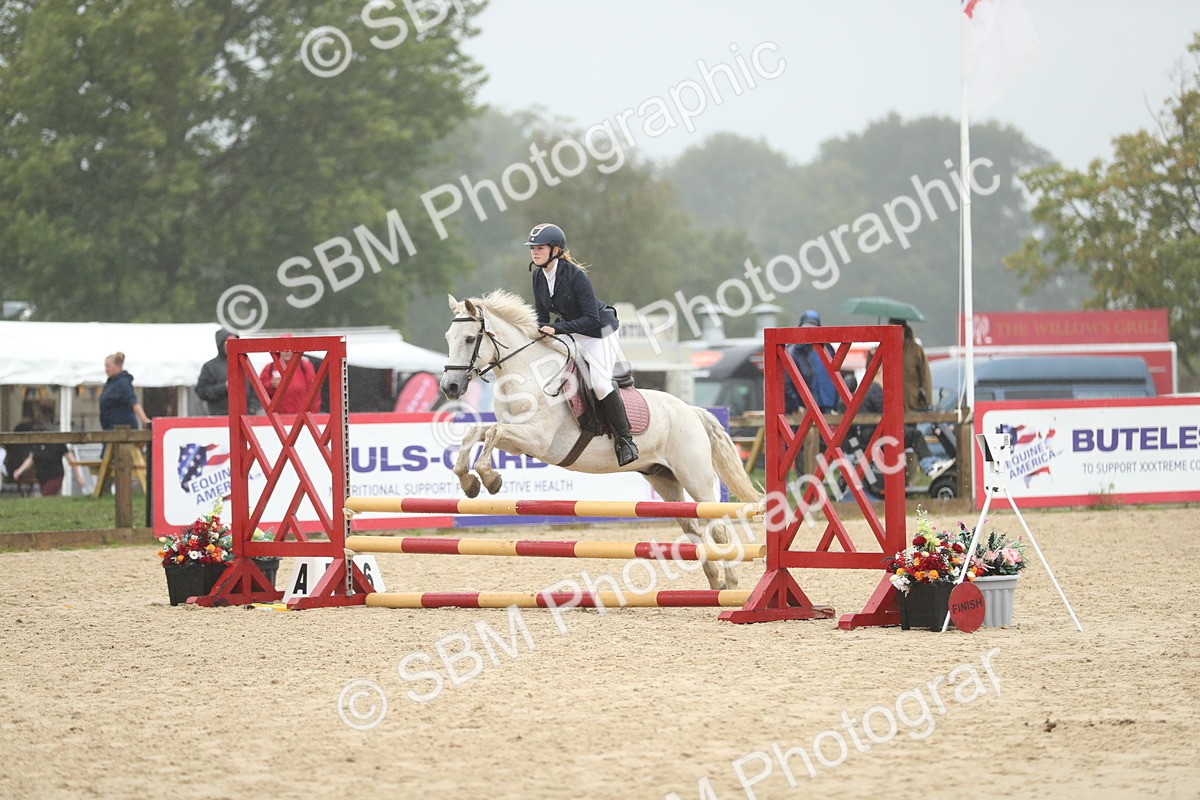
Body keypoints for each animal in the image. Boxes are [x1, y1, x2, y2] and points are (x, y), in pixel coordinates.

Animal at [439, 290, 762, 590]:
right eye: (448, 338)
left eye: (470, 339)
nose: (450, 387)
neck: (527, 375)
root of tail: (692, 411)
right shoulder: (518, 441)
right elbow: (476, 432)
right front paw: (469, 482)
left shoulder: (537, 439)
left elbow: (492, 433)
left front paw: (490, 479)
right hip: (664, 479)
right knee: (691, 525)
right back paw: (715, 582)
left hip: (696, 477)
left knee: (717, 525)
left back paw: (731, 583)